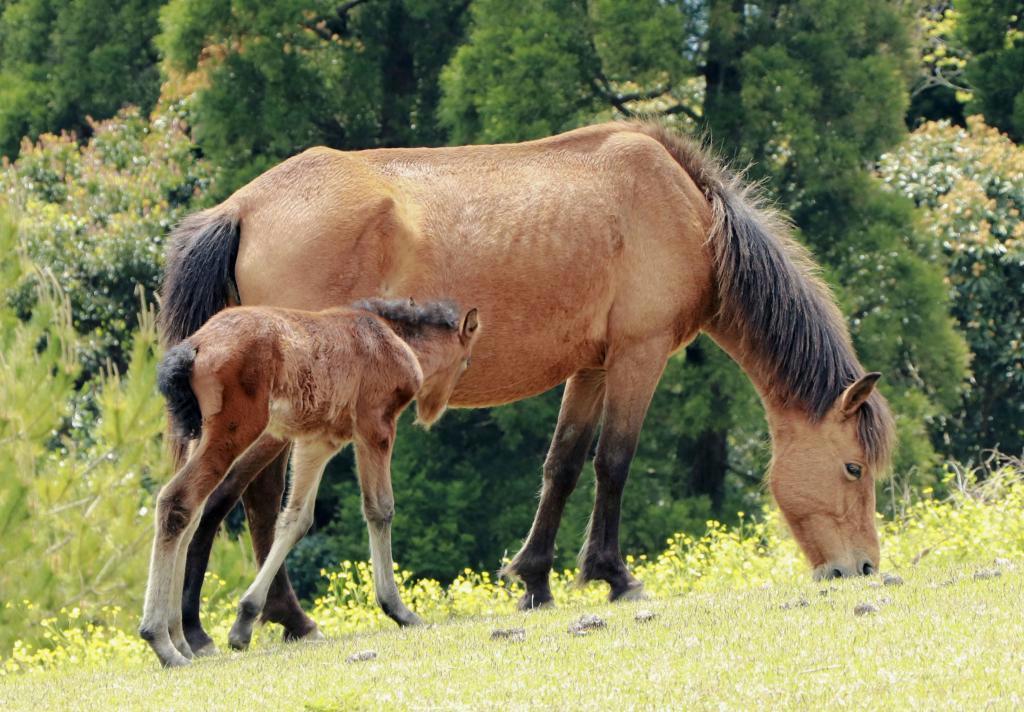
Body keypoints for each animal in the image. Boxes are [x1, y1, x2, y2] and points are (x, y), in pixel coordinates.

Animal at [137, 297, 483, 663]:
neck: (391, 335)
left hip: (200, 438)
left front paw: (245, 620)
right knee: (176, 502)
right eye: (466, 361)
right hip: (233, 432)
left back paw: (180, 639)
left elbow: (297, 520)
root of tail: (195, 345)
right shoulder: (375, 426)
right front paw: (398, 610)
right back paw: (162, 641)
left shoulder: (318, 441)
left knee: (191, 518)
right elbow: (380, 509)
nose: (432, 412)